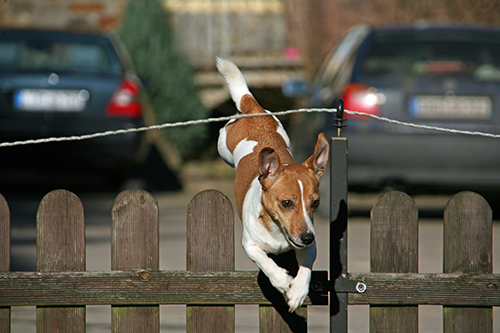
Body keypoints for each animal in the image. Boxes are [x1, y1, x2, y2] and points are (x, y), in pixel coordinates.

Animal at [217, 57, 330, 312]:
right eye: (286, 203)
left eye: (315, 203)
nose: (307, 237)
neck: (278, 231)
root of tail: (254, 110)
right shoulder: (250, 245)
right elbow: (266, 263)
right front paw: (282, 281)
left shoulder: (309, 247)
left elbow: (306, 269)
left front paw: (298, 291)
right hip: (223, 142)